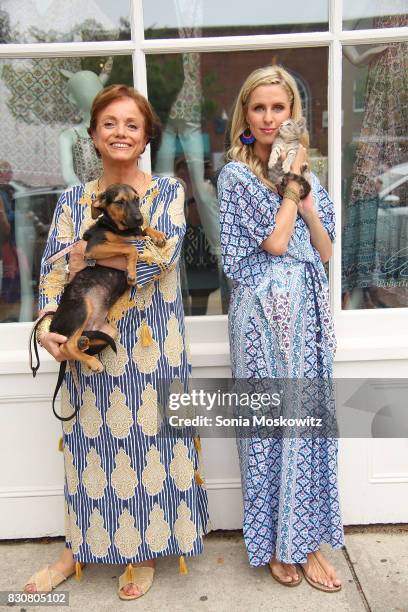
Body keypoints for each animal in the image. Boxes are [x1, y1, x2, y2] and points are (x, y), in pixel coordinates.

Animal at [49, 183, 166, 372]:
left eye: (137, 199)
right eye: (119, 202)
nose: (139, 218)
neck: (119, 228)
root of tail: (53, 328)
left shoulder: (135, 234)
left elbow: (143, 232)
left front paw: (158, 235)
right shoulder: (94, 247)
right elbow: (129, 247)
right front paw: (132, 273)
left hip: (109, 331)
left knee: (81, 342)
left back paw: (83, 343)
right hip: (81, 308)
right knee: (67, 346)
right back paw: (93, 362)